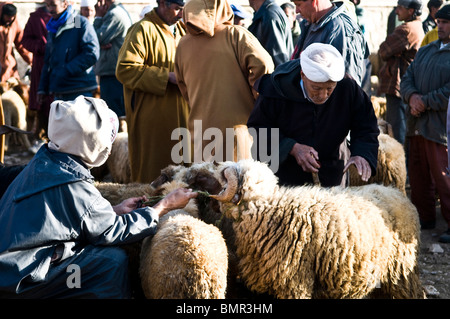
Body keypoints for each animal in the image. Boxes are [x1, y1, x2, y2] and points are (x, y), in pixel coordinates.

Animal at [178, 160, 424, 300]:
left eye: (217, 180)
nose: (188, 179)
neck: (270, 210)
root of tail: (397, 193)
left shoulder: (294, 283)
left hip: (401, 271)